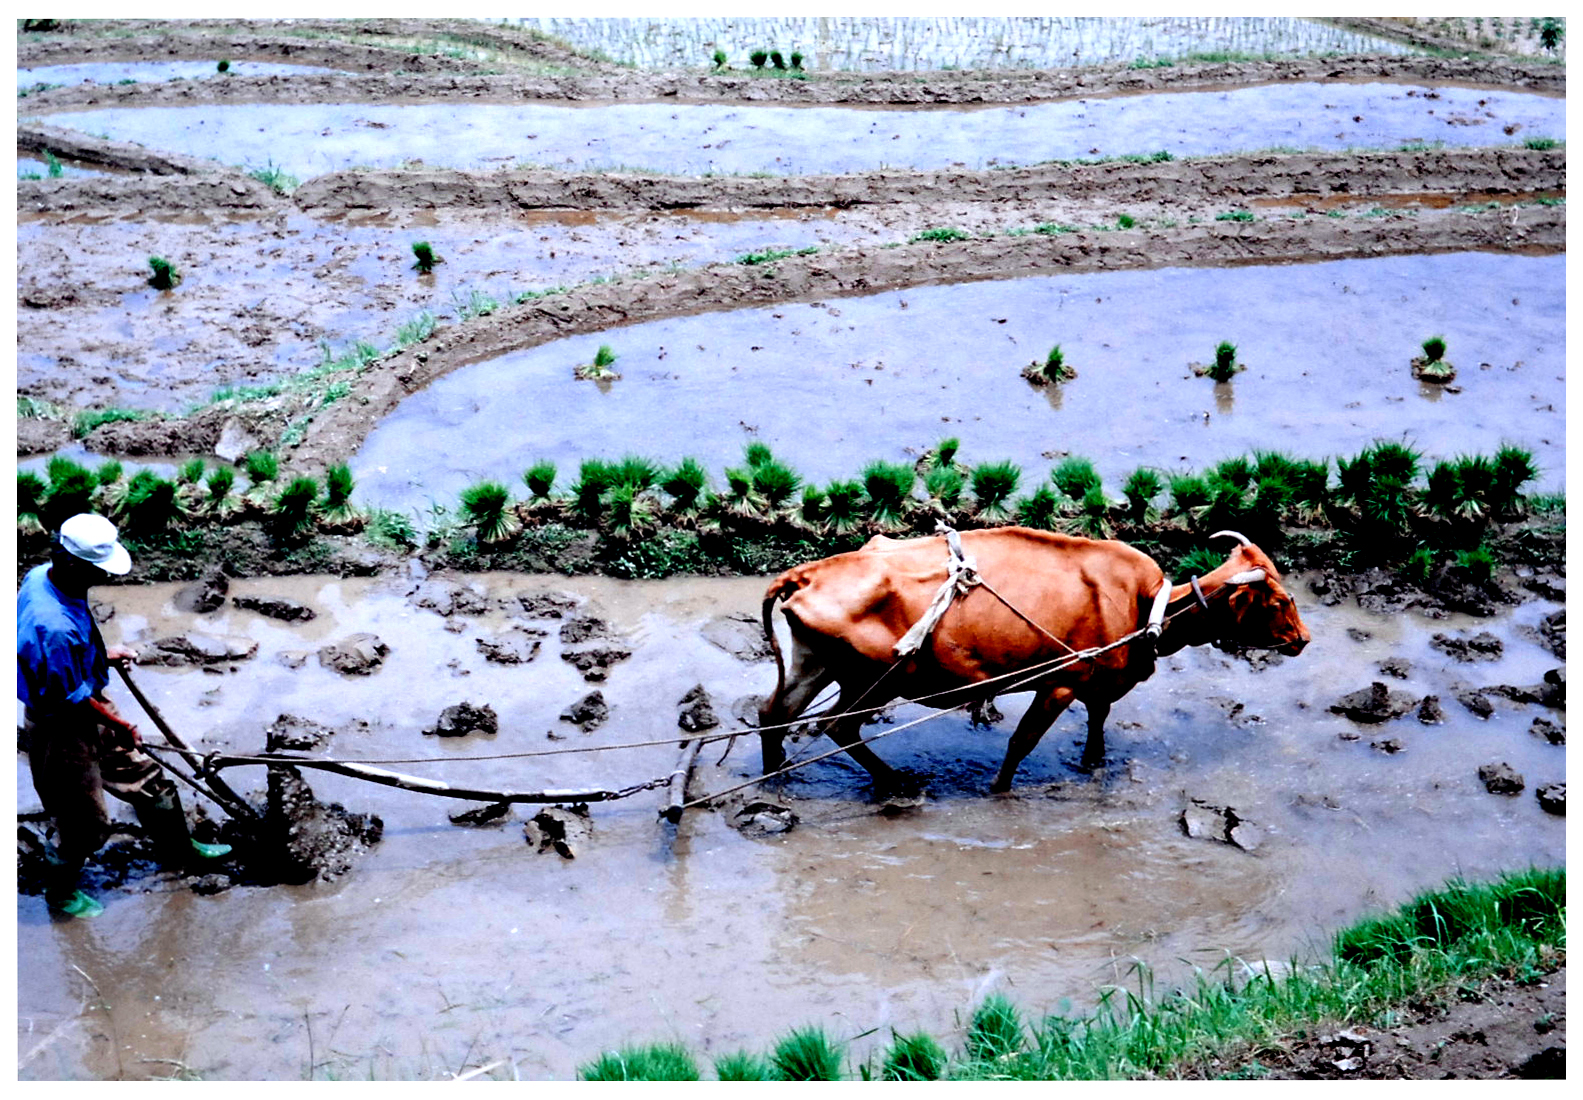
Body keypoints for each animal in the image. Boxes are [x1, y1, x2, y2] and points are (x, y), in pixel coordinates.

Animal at [757, 527, 1309, 794]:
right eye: (1278, 600)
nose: (1303, 639)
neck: (1142, 603)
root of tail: (806, 573)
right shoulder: (1059, 683)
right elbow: (1021, 743)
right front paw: (1000, 789)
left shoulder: (1098, 681)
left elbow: (1099, 718)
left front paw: (1093, 761)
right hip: (876, 679)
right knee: (837, 727)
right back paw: (896, 783)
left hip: (815, 664)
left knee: (773, 714)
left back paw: (776, 774)